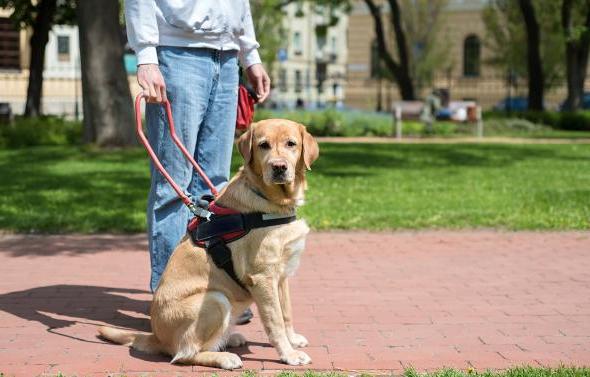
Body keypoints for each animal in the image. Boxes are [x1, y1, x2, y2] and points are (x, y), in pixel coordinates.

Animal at [99, 119, 320, 368]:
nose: (279, 167)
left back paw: (229, 339)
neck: (272, 201)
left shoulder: (280, 276)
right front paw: (288, 354)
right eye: (263, 145)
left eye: (291, 143)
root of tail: (157, 337)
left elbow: (286, 313)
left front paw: (293, 340)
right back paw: (224, 357)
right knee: (184, 354)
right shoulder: (263, 277)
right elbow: (275, 322)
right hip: (215, 299)